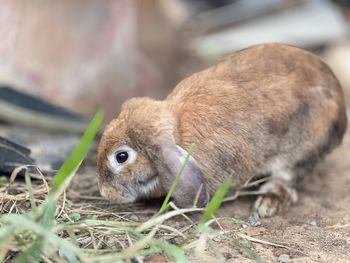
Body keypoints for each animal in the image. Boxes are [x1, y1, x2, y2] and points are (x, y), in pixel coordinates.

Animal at [96, 43, 348, 218]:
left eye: (121, 156)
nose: (104, 192)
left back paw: (267, 203)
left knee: (287, 180)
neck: (177, 131)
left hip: (301, 150)